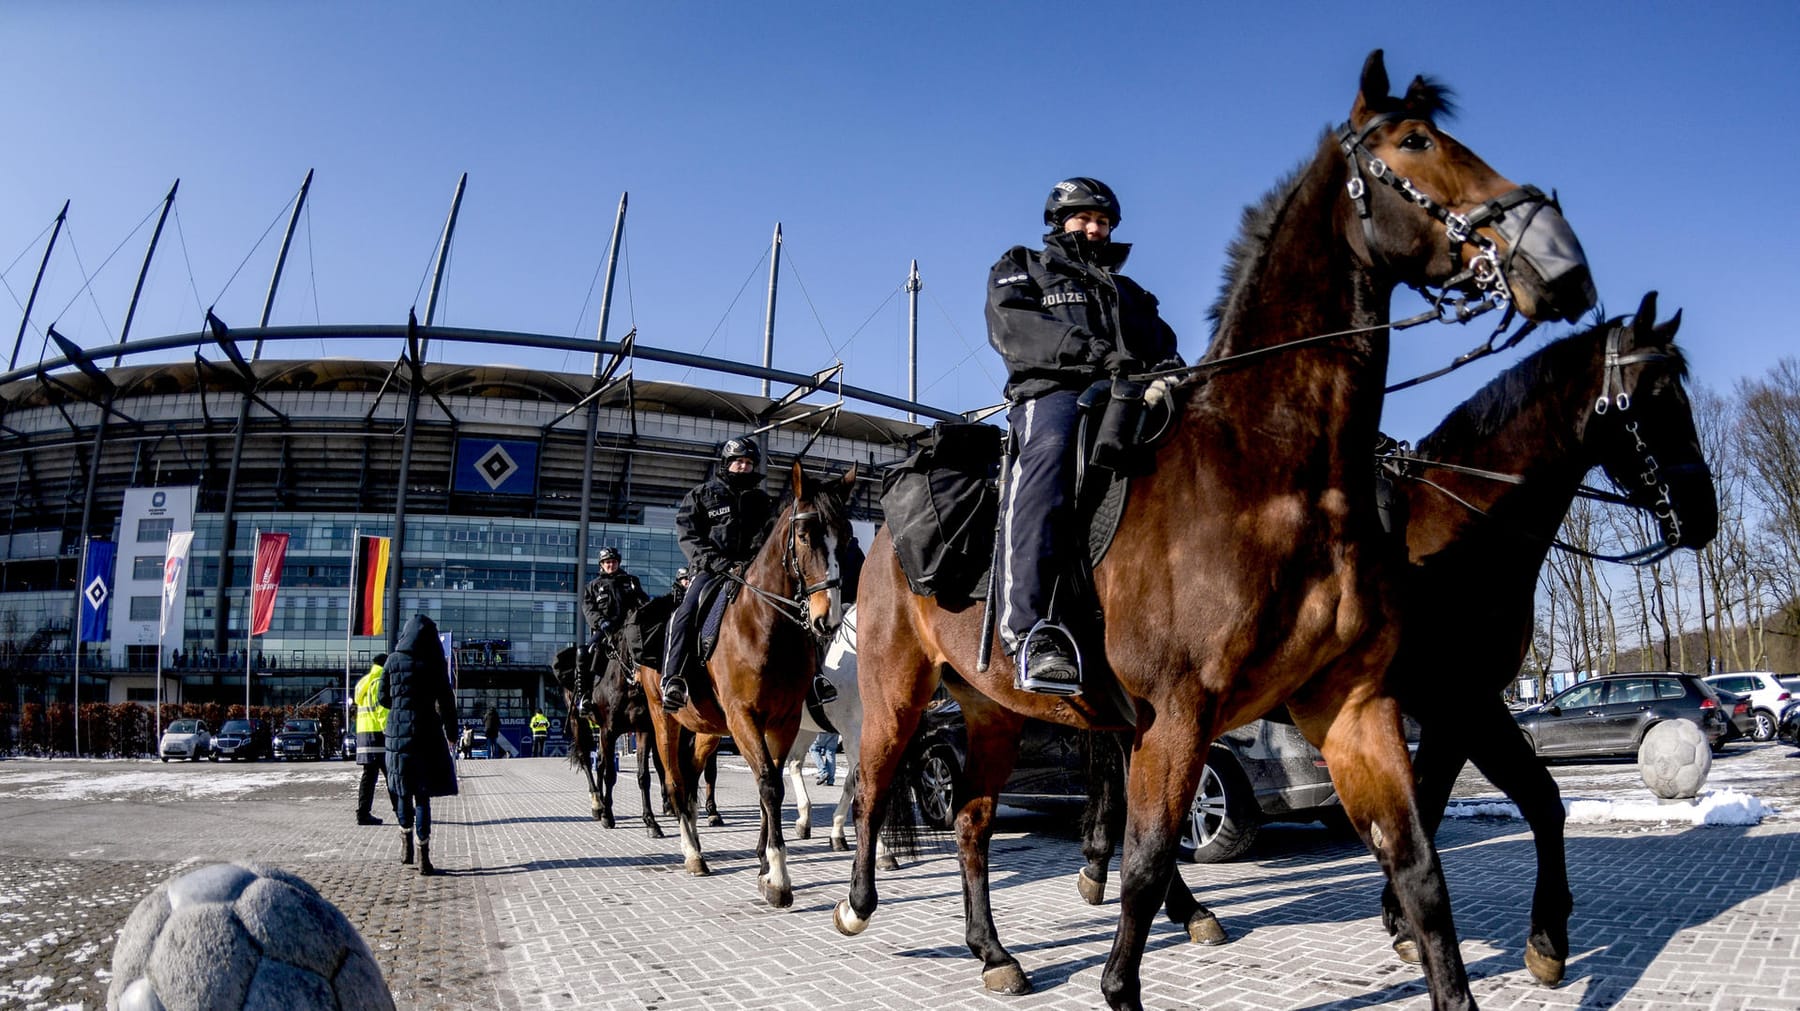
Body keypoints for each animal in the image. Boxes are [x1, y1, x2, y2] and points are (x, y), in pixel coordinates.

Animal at [637, 460, 853, 899]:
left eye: (847, 538)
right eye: (804, 535)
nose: (827, 618)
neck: (766, 626)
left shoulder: (784, 720)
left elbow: (771, 783)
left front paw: (764, 862)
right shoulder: (744, 718)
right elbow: (768, 783)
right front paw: (778, 876)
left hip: (707, 729)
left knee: (691, 776)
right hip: (664, 720)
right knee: (674, 782)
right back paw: (692, 853)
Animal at [835, 49, 1598, 1007]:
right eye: (1416, 143)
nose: (1561, 259)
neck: (1270, 472)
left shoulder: (1354, 707)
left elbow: (1420, 872)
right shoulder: (1180, 716)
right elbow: (1143, 867)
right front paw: (1121, 983)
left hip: (992, 711)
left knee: (972, 821)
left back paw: (994, 951)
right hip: (901, 696)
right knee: (871, 787)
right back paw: (858, 902)